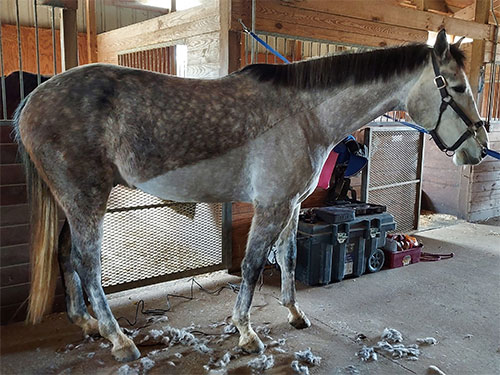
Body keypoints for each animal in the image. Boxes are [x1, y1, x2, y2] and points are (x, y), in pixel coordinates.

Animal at [12, 29, 488, 362]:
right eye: (457, 87)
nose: (479, 149)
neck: (304, 117)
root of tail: (33, 100)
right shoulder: (271, 205)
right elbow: (254, 265)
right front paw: (245, 333)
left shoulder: (291, 206)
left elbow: (288, 259)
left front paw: (294, 314)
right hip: (86, 197)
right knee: (87, 264)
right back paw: (119, 340)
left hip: (72, 202)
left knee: (65, 254)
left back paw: (88, 324)